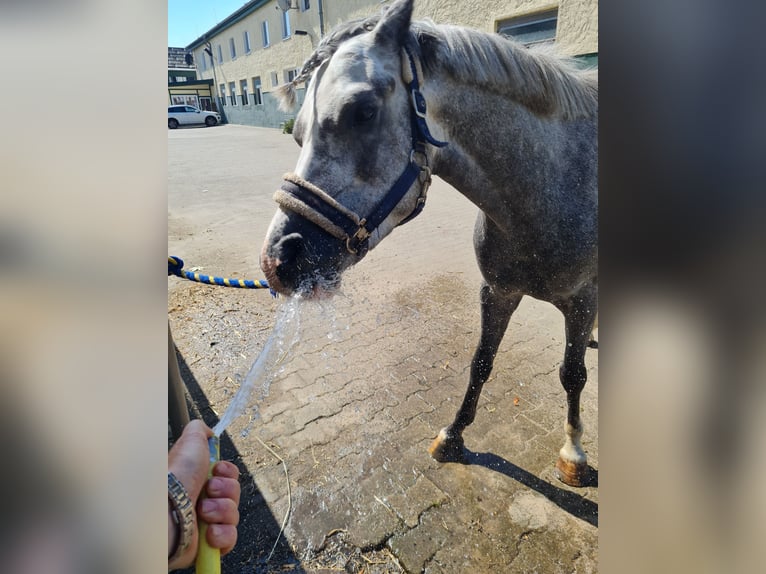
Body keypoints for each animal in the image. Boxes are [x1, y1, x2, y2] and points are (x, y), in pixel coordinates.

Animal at [260, 0, 596, 488]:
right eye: (297, 133)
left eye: (363, 111)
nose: (278, 260)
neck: (552, 185)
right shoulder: (498, 292)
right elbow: (481, 362)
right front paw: (454, 435)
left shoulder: (583, 301)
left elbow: (573, 374)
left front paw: (574, 453)